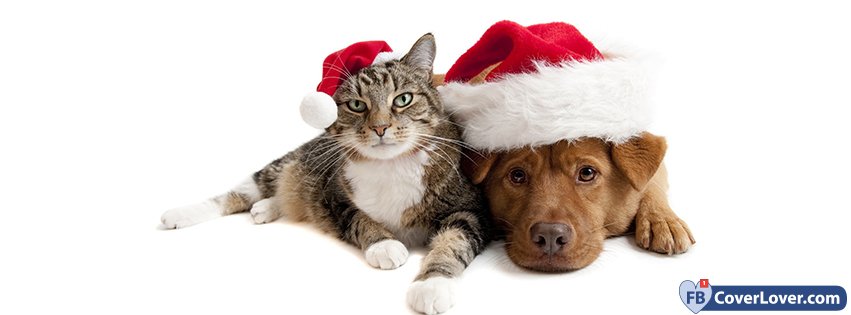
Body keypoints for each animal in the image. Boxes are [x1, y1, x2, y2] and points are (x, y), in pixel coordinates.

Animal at [161, 34, 492, 315]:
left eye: (403, 99)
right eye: (357, 105)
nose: (380, 127)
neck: (391, 164)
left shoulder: (470, 209)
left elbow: (454, 242)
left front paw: (432, 284)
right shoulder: (333, 194)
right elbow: (359, 220)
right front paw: (383, 244)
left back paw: (266, 208)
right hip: (288, 165)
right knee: (240, 192)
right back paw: (182, 213)